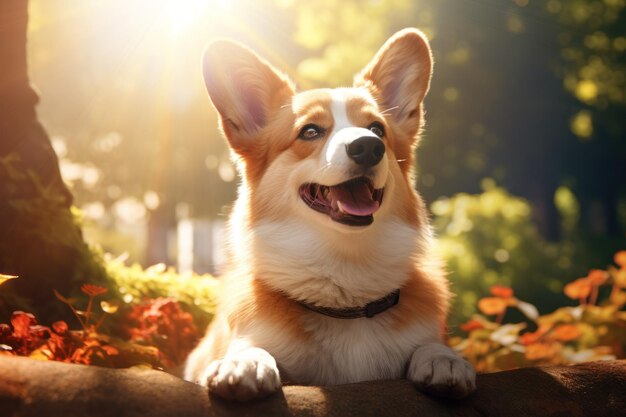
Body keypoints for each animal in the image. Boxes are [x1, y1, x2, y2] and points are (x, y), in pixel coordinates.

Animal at [183, 28, 476, 400]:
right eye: (310, 131)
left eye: (378, 129)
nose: (368, 146)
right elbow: (251, 346)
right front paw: (244, 363)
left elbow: (430, 345)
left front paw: (444, 360)